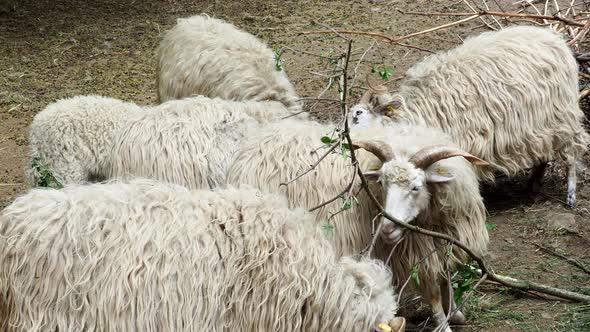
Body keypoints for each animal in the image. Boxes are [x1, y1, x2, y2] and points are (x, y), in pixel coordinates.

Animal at [227, 118, 490, 330]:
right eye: (381, 183)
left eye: (416, 187)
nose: (387, 229)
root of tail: (255, 143)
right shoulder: (415, 251)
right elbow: (433, 292)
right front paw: (444, 325)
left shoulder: (441, 239)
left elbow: (446, 277)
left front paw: (456, 312)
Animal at [354, 26, 588, 206]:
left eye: (359, 115)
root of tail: (555, 39)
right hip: (540, 125)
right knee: (544, 153)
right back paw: (533, 185)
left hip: (563, 115)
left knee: (573, 151)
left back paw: (570, 196)